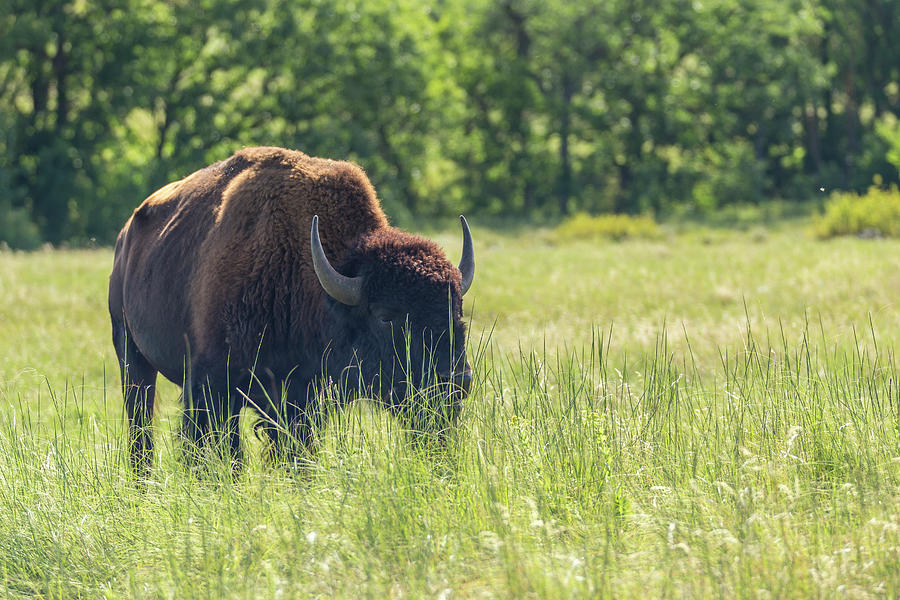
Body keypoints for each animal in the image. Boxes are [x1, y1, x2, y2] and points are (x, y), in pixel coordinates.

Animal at [109, 146, 474, 474]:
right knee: (140, 427)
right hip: (131, 357)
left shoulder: (301, 401)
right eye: (386, 317)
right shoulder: (211, 386)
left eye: (457, 310)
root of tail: (126, 236)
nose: (455, 380)